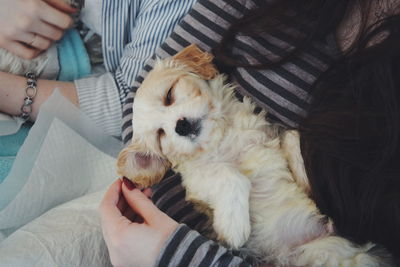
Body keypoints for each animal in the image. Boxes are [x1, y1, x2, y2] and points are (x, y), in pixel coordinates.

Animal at [118, 45, 384, 266]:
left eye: (169, 95)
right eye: (160, 135)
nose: (181, 126)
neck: (223, 137)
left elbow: (291, 137)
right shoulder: (198, 181)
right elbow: (228, 173)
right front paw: (233, 224)